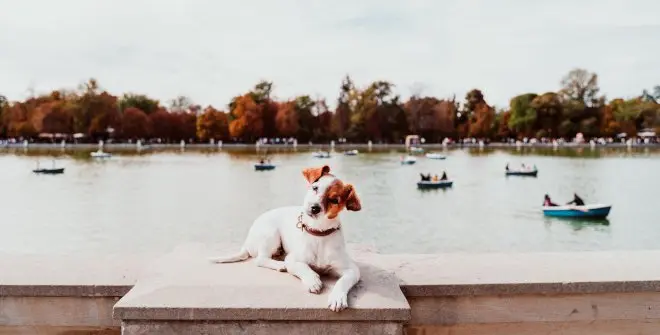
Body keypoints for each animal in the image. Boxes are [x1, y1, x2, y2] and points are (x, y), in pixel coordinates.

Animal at [210, 165, 360, 312]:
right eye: (315, 188)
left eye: (334, 200)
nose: (314, 208)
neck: (318, 232)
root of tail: (247, 242)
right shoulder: (293, 259)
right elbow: (303, 267)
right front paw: (313, 280)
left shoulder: (352, 270)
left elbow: (343, 281)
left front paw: (337, 297)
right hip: (271, 233)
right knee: (260, 259)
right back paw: (280, 265)